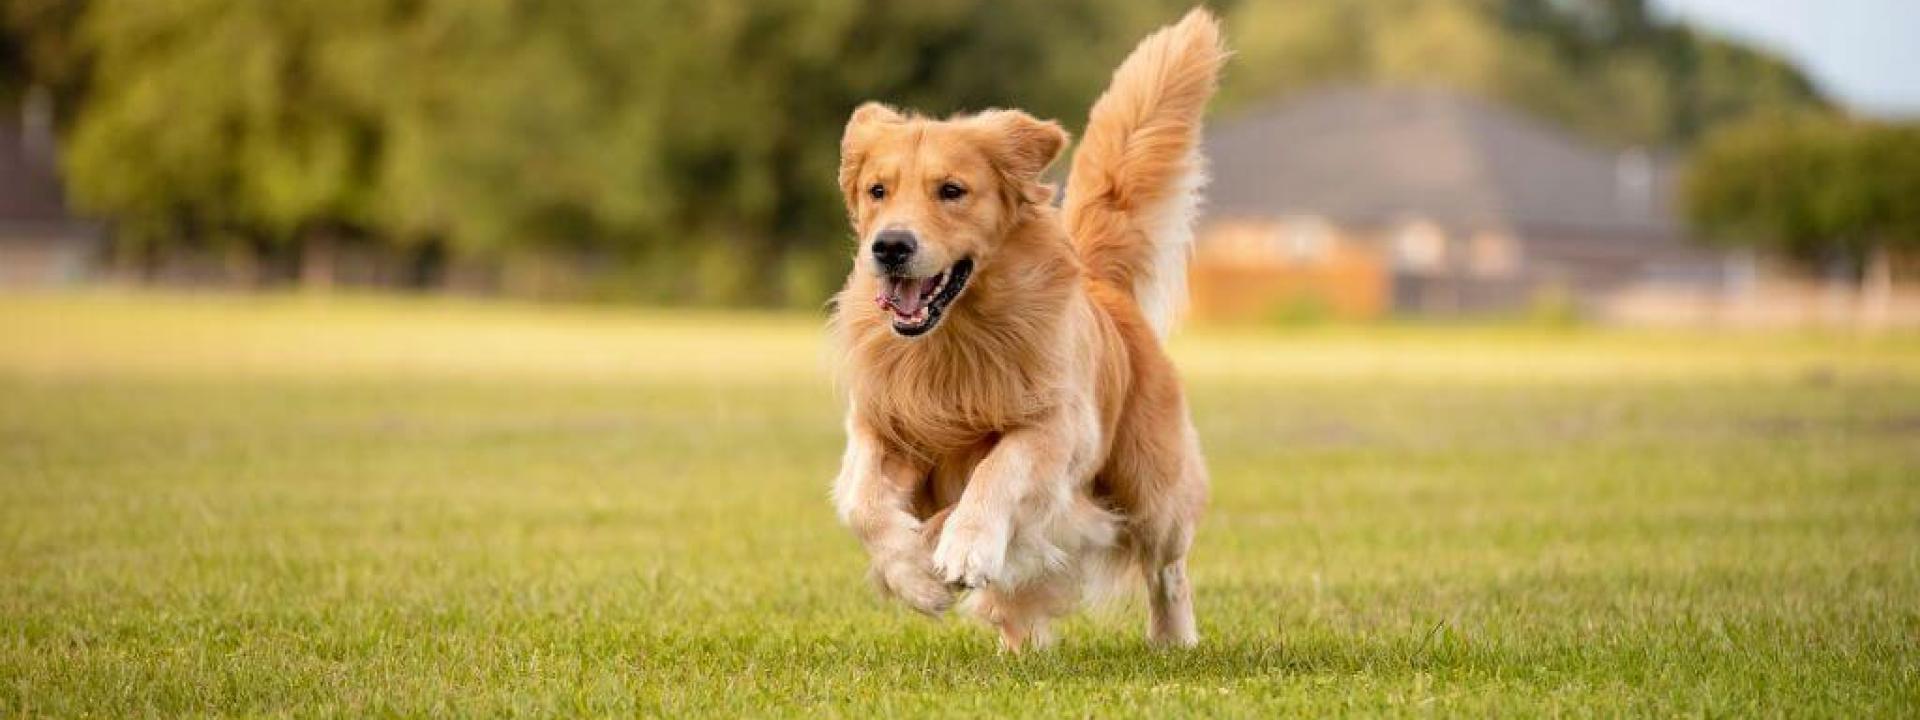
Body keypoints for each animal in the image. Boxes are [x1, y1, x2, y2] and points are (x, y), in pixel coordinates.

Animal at [829, 7, 1221, 652]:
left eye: (952, 191)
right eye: (877, 191)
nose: (889, 247)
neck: (954, 339)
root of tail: (1105, 288)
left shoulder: (1057, 427)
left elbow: (997, 468)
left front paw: (963, 544)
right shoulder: (881, 422)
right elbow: (862, 502)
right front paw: (914, 575)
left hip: (1151, 486)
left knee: (1167, 566)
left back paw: (1174, 638)